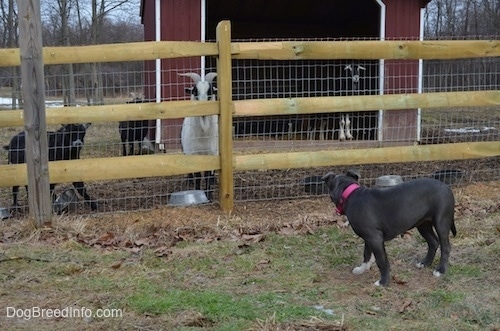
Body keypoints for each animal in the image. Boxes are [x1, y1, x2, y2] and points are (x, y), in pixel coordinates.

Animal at [180, 72, 219, 200]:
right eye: (195, 91)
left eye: (210, 91)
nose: (203, 107)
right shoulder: (193, 154)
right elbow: (197, 175)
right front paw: (198, 192)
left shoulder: (212, 154)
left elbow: (208, 176)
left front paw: (209, 195)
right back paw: (190, 181)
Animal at [322, 170, 456, 286]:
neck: (349, 193)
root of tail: (446, 187)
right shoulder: (368, 237)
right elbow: (366, 254)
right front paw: (363, 268)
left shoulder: (375, 238)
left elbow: (382, 261)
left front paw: (383, 282)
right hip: (423, 224)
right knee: (433, 242)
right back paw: (425, 263)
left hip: (441, 222)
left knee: (445, 247)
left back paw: (440, 270)